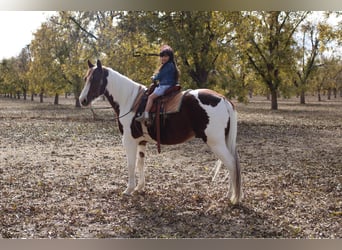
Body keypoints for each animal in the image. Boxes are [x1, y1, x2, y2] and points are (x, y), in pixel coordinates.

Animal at [79, 59, 242, 204]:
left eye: (94, 79)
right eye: (86, 78)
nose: (82, 100)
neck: (130, 101)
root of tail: (223, 99)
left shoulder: (129, 141)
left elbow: (131, 164)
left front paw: (129, 189)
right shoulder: (141, 142)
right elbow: (140, 163)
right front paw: (140, 187)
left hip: (216, 143)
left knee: (231, 164)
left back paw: (230, 196)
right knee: (230, 165)